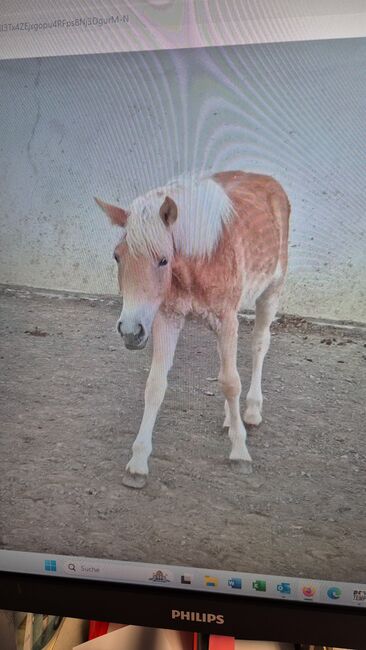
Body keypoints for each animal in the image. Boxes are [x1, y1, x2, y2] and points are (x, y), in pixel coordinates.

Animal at [96, 172, 290, 486]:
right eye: (117, 256)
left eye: (163, 259)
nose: (130, 331)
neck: (202, 256)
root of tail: (269, 181)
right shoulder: (168, 318)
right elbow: (156, 385)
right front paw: (138, 462)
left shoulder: (226, 319)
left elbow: (231, 382)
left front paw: (240, 452)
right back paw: (230, 417)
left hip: (271, 291)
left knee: (259, 345)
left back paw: (251, 411)